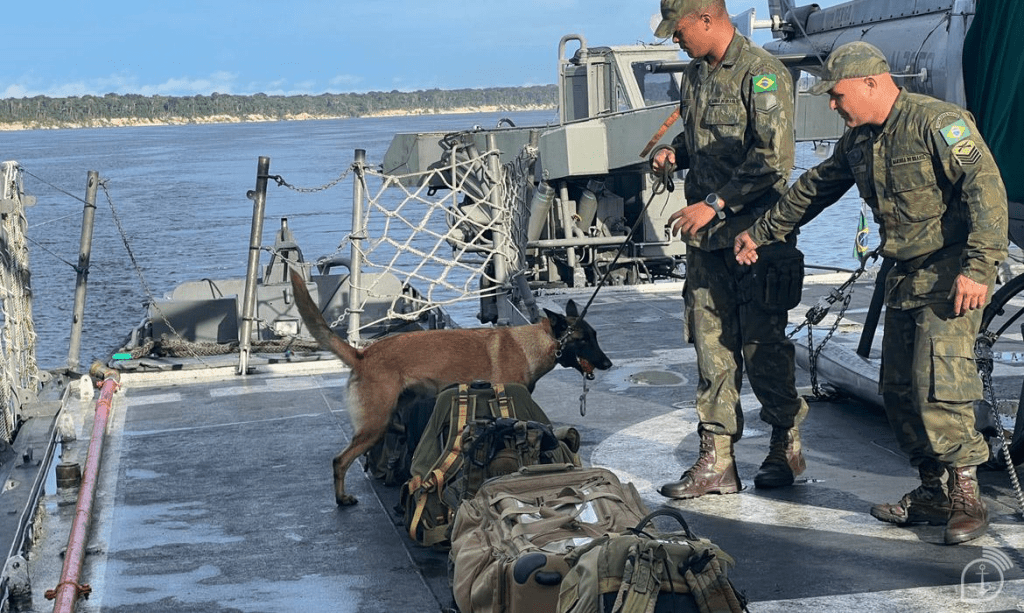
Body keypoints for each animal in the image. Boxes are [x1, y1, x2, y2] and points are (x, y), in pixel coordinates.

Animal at [288, 270, 606, 505]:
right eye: (584, 340)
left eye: (595, 336)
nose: (608, 363)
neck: (535, 342)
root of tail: (362, 354)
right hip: (373, 424)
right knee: (340, 461)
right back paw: (342, 498)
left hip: (393, 409)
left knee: (395, 428)